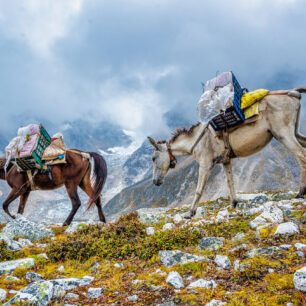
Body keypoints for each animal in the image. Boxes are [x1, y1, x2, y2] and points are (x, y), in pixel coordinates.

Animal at [148, 87, 306, 216]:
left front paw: (190, 212)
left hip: (283, 134)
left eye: (154, 158)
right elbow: (230, 182)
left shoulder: (205, 164)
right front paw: (234, 203)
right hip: (295, 133)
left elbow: (199, 189)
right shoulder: (226, 161)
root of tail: (293, 93)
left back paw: (300, 193)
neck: (197, 140)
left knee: (300, 156)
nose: (155, 181)